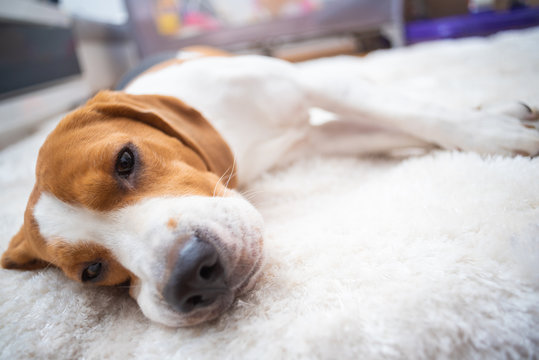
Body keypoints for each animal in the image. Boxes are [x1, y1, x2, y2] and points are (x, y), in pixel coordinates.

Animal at [3, 47, 539, 326]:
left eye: (126, 160)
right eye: (91, 271)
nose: (191, 276)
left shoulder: (312, 84)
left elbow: (418, 114)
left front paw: (499, 135)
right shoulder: (317, 139)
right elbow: (397, 126)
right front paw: (494, 126)